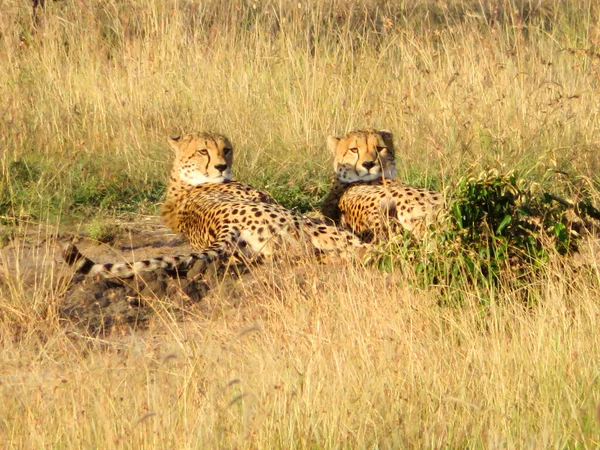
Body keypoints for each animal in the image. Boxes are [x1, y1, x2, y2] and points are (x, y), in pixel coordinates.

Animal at [63, 131, 368, 278]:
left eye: (227, 150)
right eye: (203, 151)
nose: (222, 166)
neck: (184, 179)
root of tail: (226, 226)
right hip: (299, 224)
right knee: (357, 248)